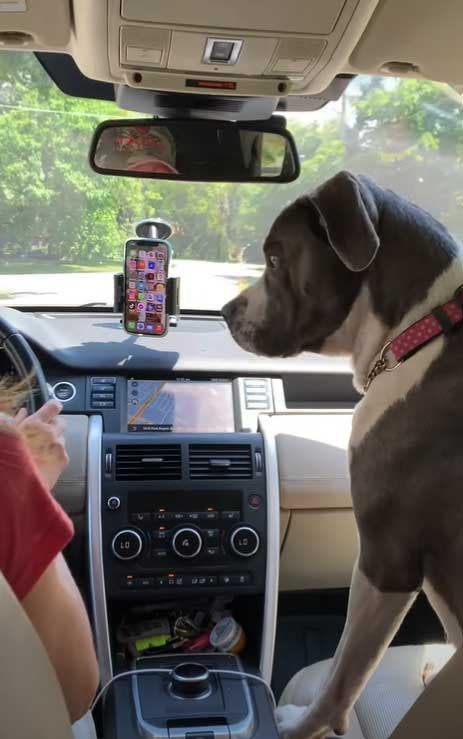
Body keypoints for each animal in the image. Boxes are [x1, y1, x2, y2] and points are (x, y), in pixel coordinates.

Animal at [222, 172, 463, 739]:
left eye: (274, 258)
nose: (224, 312)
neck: (418, 329)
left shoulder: (384, 562)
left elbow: (343, 675)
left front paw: (298, 726)